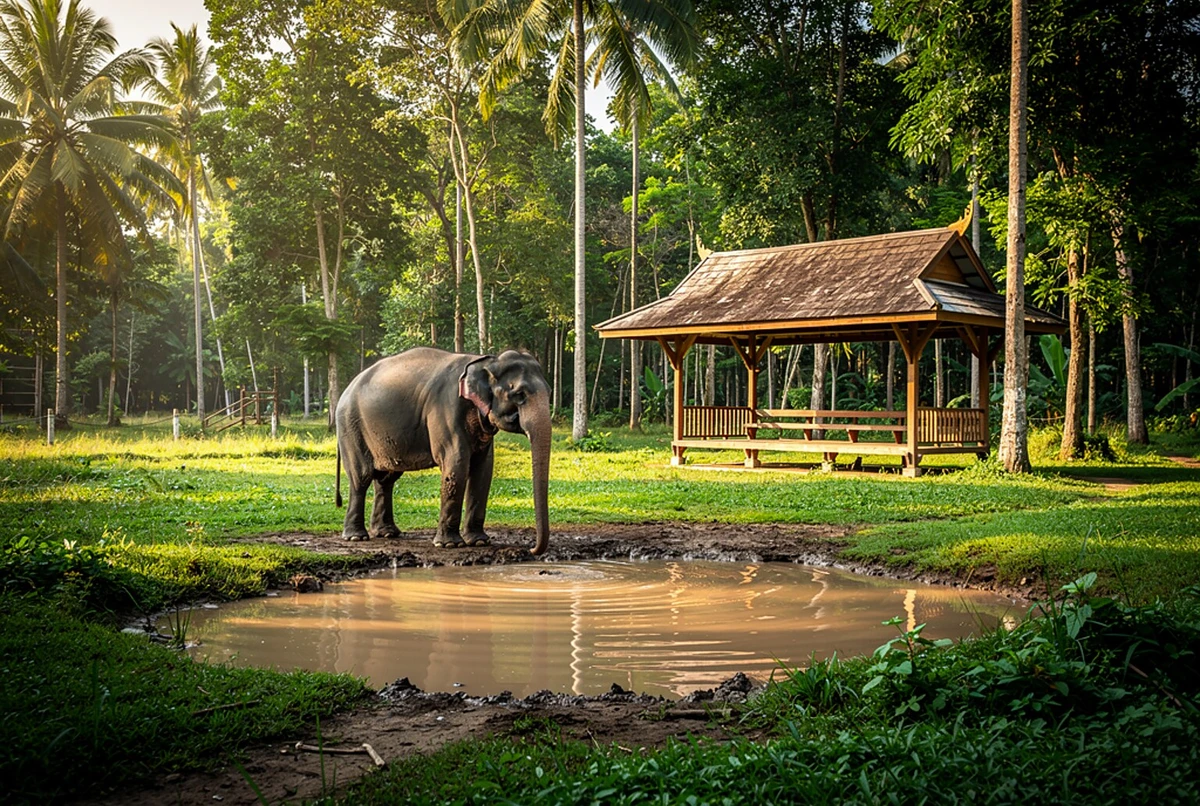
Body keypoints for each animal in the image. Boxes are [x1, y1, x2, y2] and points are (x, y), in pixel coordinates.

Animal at [334, 347, 551, 555]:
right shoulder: (446, 409)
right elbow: (457, 466)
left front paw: (479, 541)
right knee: (361, 477)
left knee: (386, 479)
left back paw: (387, 533)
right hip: (351, 427)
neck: (486, 361)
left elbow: (483, 470)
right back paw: (356, 537)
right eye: (519, 394)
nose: (531, 549)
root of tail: (344, 392)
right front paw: (450, 545)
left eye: (549, 393)